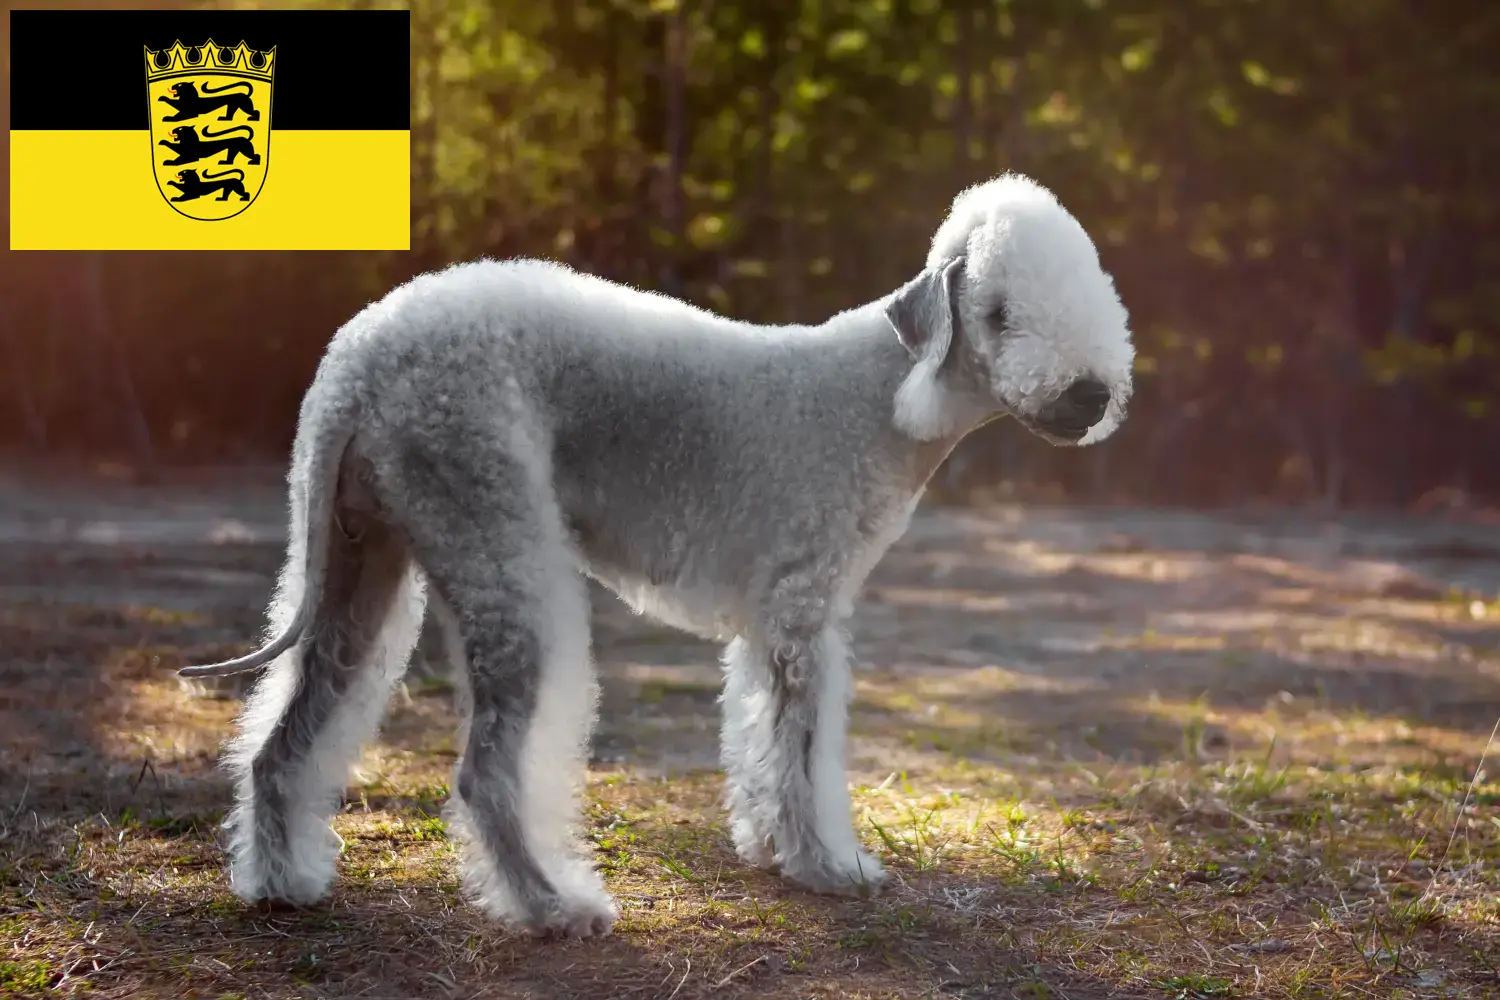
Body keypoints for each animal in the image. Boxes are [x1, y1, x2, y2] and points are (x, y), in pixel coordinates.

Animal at [181, 170, 1128, 941]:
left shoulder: (767, 626)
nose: (1090, 395)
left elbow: (761, 740)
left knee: (282, 740)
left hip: (359, 562)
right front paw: (829, 866)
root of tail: (355, 364)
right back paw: (552, 907)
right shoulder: (804, 610)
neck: (884, 395)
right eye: (999, 313)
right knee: (485, 772)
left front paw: (770, 848)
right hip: (496, 541)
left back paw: (281, 882)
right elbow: (806, 750)